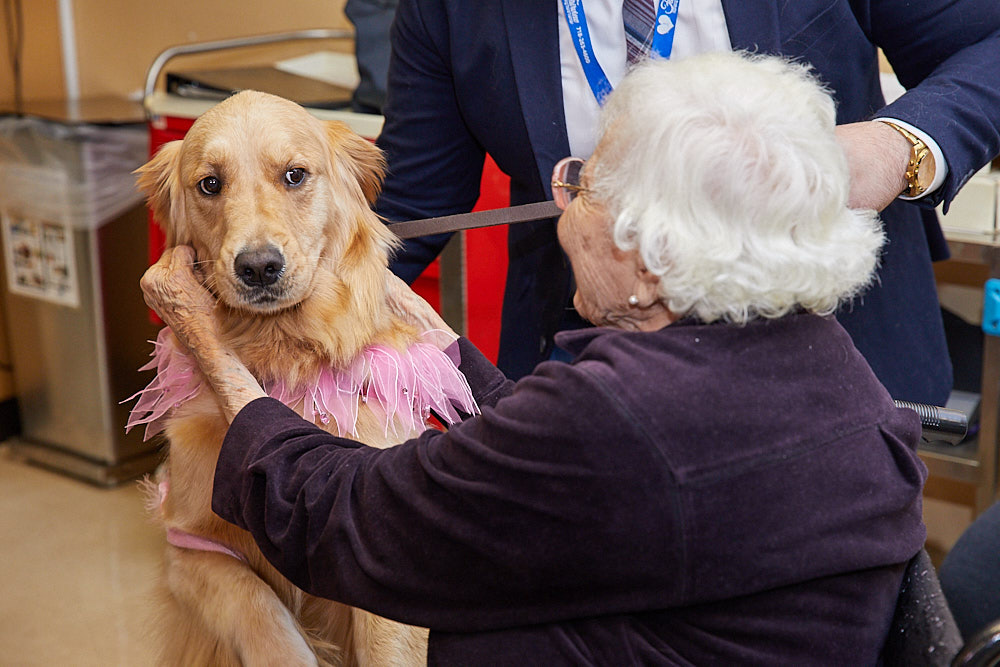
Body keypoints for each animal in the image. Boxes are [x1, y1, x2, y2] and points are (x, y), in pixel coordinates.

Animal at [127, 91, 474, 664]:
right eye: (210, 184)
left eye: (294, 175)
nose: (258, 267)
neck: (284, 353)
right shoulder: (191, 549)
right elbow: (261, 615)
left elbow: (385, 648)